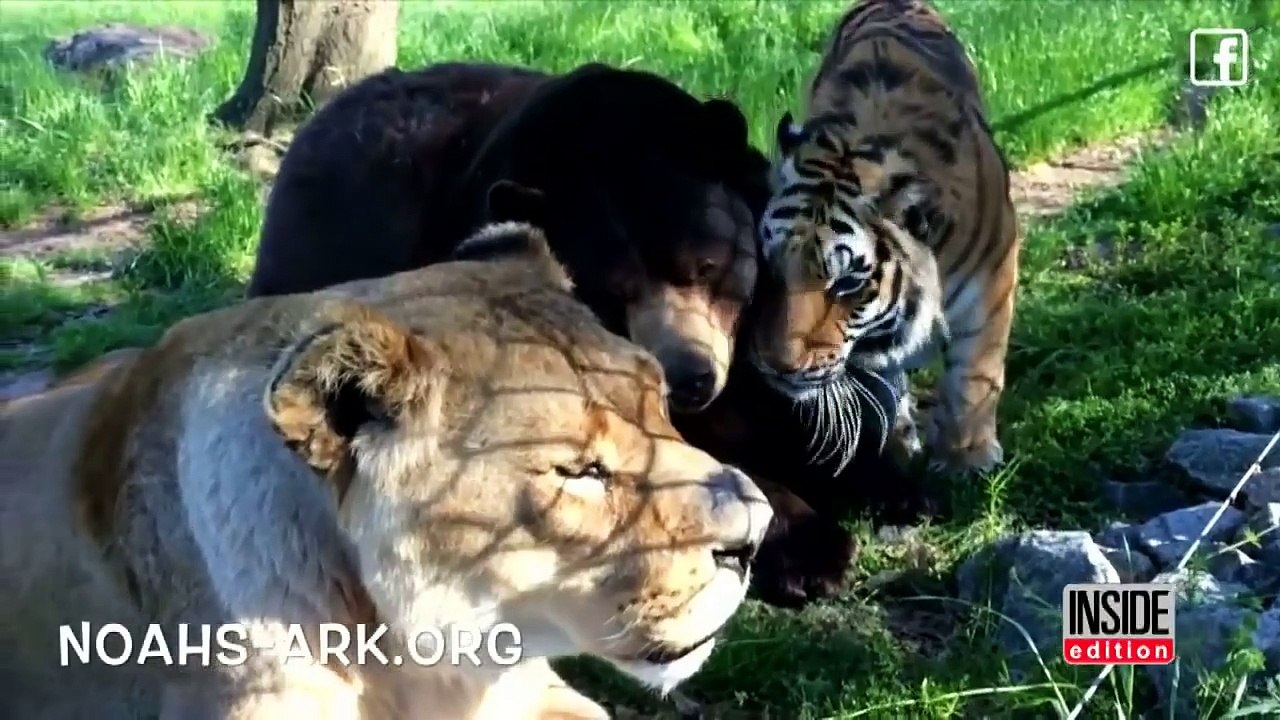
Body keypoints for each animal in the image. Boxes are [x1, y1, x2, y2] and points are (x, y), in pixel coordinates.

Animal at [748, 0, 1021, 477]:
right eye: (771, 263)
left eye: (845, 283)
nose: (776, 368)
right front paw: (898, 444)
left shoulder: (994, 267)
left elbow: (976, 367)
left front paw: (966, 455)